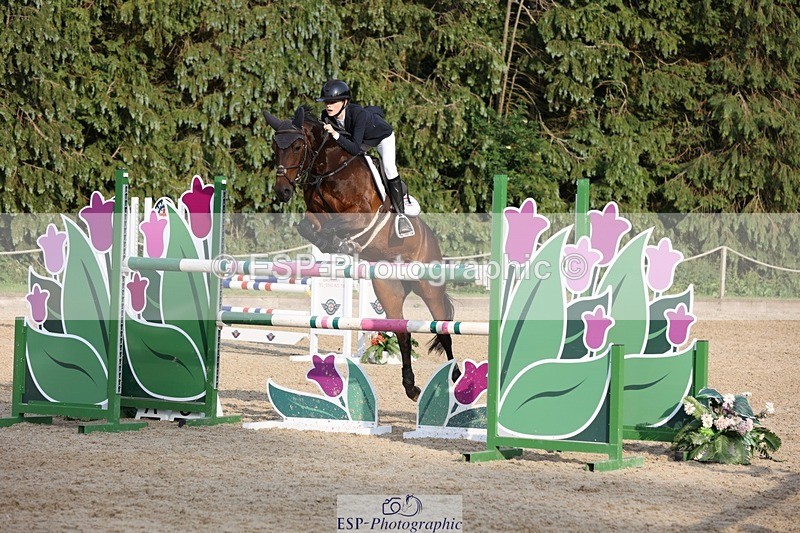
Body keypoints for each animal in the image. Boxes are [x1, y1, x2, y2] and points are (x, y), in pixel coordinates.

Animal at [262, 106, 459, 401]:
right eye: (275, 147)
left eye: (297, 146)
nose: (282, 191)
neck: (328, 169)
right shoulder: (314, 214)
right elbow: (308, 227)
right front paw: (334, 244)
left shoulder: (361, 215)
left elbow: (336, 226)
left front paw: (344, 244)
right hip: (389, 290)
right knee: (402, 333)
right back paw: (411, 387)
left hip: (429, 287)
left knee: (444, 331)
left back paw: (457, 379)